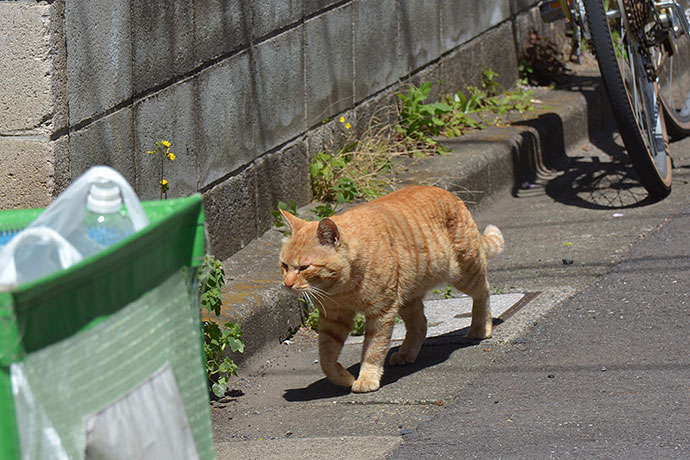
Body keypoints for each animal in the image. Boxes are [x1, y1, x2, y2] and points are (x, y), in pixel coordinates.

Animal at [276, 185, 502, 394]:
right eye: (284, 265)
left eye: (304, 267)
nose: (287, 284)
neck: (341, 289)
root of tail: (450, 194)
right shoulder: (334, 318)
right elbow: (326, 358)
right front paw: (343, 378)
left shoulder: (381, 312)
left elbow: (373, 350)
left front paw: (367, 378)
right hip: (407, 297)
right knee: (420, 324)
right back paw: (406, 353)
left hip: (465, 273)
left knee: (483, 292)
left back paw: (481, 328)